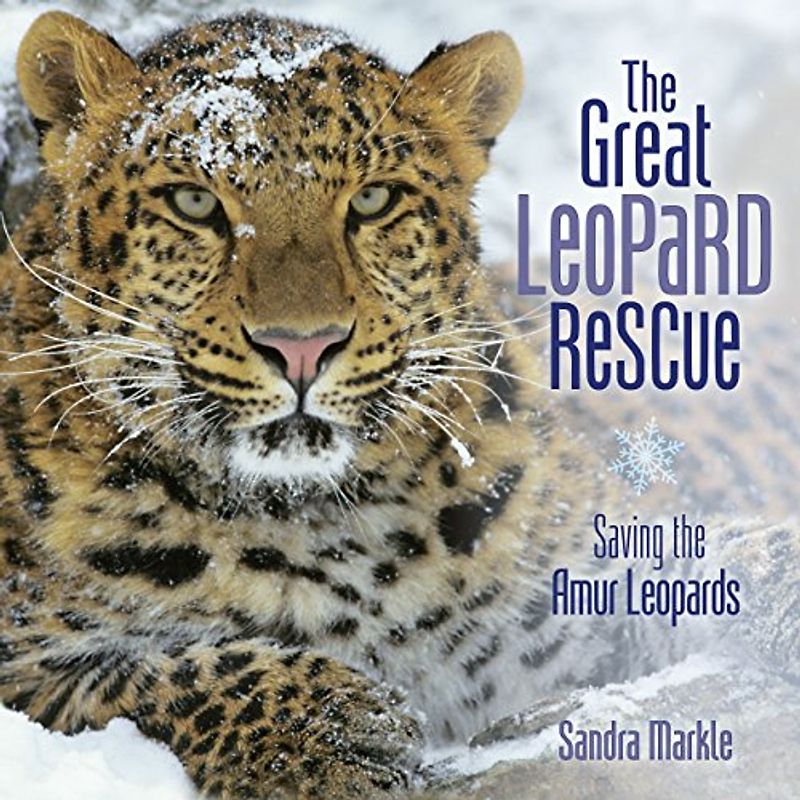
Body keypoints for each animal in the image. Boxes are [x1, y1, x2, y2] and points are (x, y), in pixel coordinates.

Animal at [0, 10, 798, 800]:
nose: (302, 347)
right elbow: (159, 675)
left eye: (373, 200)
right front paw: (326, 740)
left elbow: (697, 558)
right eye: (193, 203)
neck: (324, 523)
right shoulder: (24, 659)